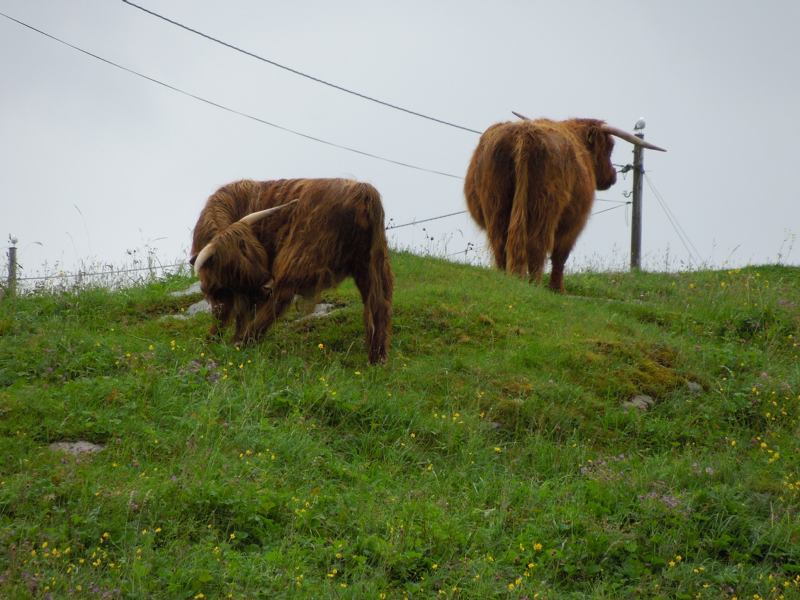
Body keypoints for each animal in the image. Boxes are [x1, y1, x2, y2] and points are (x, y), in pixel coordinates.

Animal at [192, 178, 396, 364]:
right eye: (235, 267)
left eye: (259, 254)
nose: (267, 285)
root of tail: (363, 191)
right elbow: (229, 315)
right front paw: (216, 342)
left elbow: (228, 315)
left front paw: (215, 343)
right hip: (372, 263)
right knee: (379, 303)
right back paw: (377, 358)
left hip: (298, 257)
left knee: (279, 299)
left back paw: (246, 343)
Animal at [466, 113, 664, 292]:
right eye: (610, 147)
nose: (613, 175)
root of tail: (524, 134)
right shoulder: (575, 224)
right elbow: (560, 256)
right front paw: (557, 289)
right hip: (545, 207)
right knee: (536, 245)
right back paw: (535, 285)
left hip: (496, 202)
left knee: (501, 243)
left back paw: (506, 278)